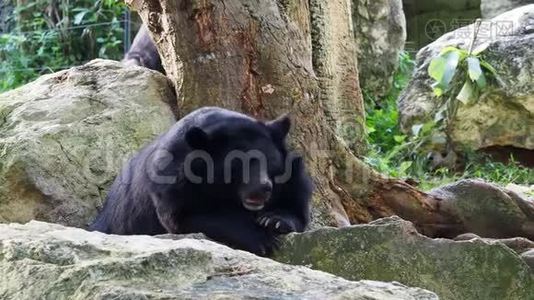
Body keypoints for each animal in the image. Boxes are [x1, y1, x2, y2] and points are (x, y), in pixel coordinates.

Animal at [89, 106, 312, 254]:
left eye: (271, 163)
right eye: (238, 165)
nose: (263, 188)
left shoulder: (291, 172)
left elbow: (295, 198)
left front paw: (274, 220)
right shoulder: (173, 183)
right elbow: (185, 216)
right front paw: (262, 240)